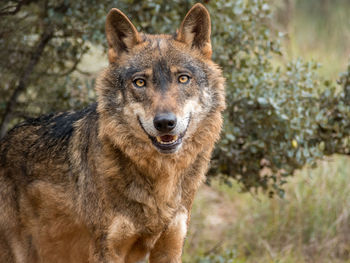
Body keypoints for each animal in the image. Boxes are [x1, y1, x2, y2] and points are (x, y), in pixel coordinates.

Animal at [0, 2, 224, 263]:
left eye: (183, 78)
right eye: (140, 82)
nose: (165, 123)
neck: (160, 182)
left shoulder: (171, 247)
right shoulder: (107, 249)